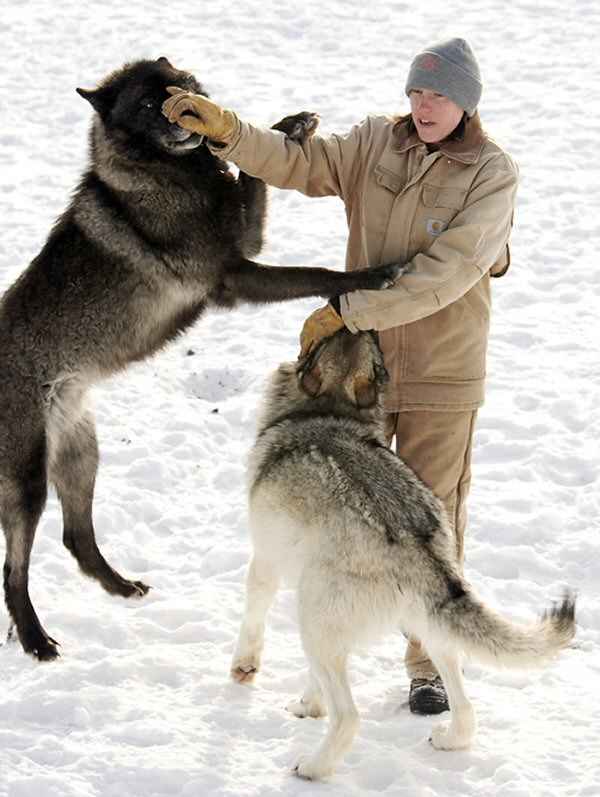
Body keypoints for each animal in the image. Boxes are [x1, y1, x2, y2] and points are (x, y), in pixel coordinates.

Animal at [1, 54, 404, 660]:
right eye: (147, 104)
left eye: (179, 86)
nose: (184, 112)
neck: (164, 172)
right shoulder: (236, 276)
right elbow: (319, 274)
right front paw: (376, 274)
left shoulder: (246, 244)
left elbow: (251, 176)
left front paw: (286, 127)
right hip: (28, 482)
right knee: (15, 568)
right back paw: (35, 638)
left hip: (81, 454)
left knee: (76, 537)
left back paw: (121, 586)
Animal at [231, 328, 576, 776]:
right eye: (378, 356)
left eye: (315, 342)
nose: (364, 325)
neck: (328, 408)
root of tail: (418, 543)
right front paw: (309, 705)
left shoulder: (265, 562)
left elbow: (252, 620)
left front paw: (246, 670)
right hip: (424, 628)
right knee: (466, 708)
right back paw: (449, 739)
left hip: (313, 616)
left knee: (349, 718)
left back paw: (312, 768)